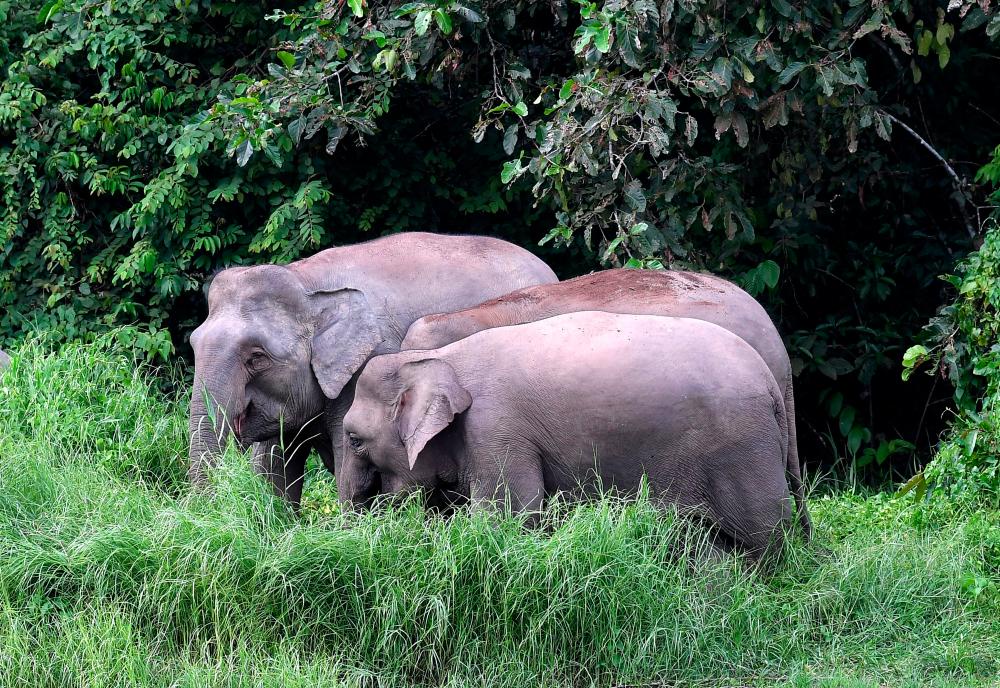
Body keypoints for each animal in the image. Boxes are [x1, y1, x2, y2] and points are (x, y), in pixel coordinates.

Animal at [188, 231, 560, 506]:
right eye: (193, 344)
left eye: (256, 357)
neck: (305, 280)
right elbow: (273, 465)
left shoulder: (364, 368)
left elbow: (345, 458)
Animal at [340, 312, 792, 560]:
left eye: (355, 439)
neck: (441, 359)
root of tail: (771, 381)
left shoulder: (496, 430)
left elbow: (507, 519)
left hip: (741, 449)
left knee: (765, 534)